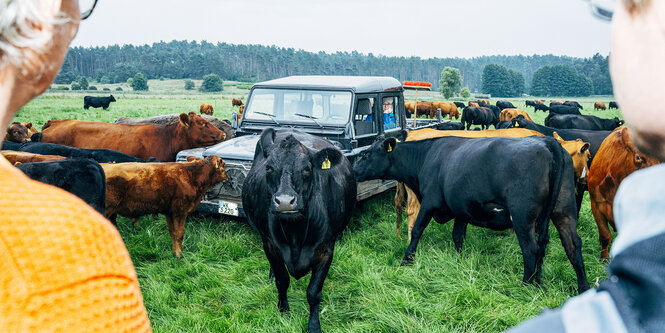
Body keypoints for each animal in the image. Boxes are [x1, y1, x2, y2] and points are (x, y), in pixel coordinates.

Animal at [241, 127, 356, 332]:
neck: (295, 233)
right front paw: (283, 311)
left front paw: (314, 325)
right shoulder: (270, 245)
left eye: (307, 169)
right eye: (269, 168)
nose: (285, 201)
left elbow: (313, 292)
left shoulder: (326, 250)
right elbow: (282, 280)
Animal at [356, 136, 588, 294]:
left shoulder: (430, 201)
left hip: (523, 217)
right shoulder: (460, 208)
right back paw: (578, 286)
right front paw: (458, 260)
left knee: (531, 249)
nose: (354, 170)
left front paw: (406, 260)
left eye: (366, 154)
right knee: (572, 244)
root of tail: (547, 142)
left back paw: (525, 286)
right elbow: (458, 235)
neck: (427, 156)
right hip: (564, 211)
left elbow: (418, 230)